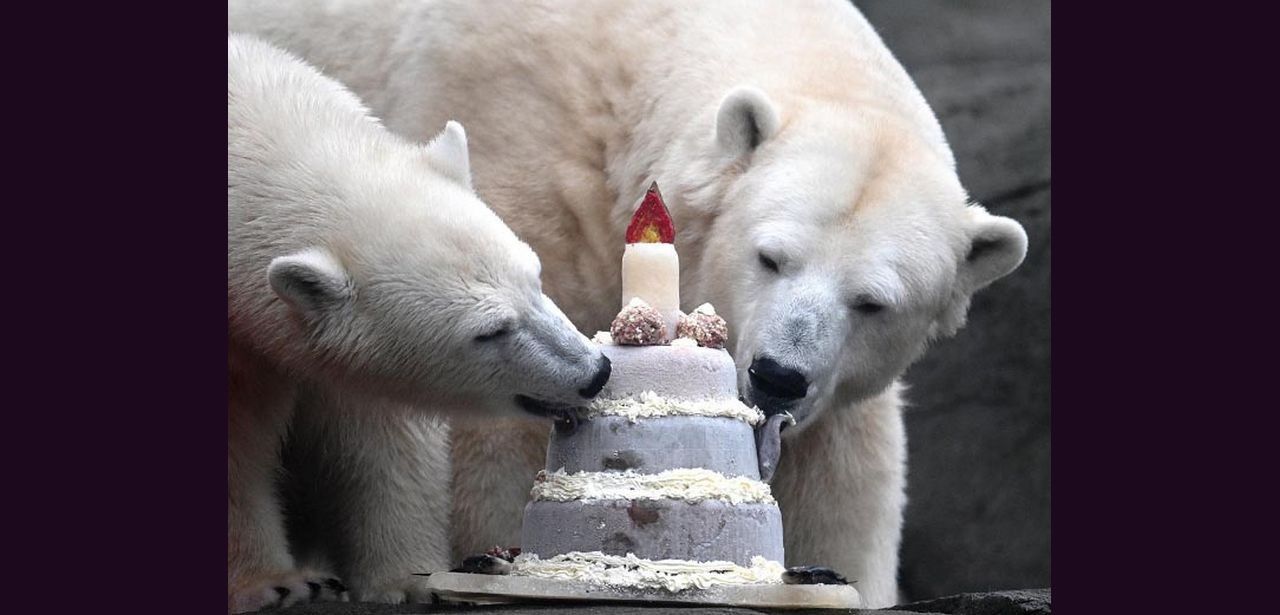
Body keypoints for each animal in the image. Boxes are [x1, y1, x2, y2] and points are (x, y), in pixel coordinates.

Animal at [230, 0, 1029, 604]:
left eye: (873, 303)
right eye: (771, 255)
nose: (776, 375)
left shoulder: (835, 393)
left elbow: (843, 481)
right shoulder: (522, 141)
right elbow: (491, 437)